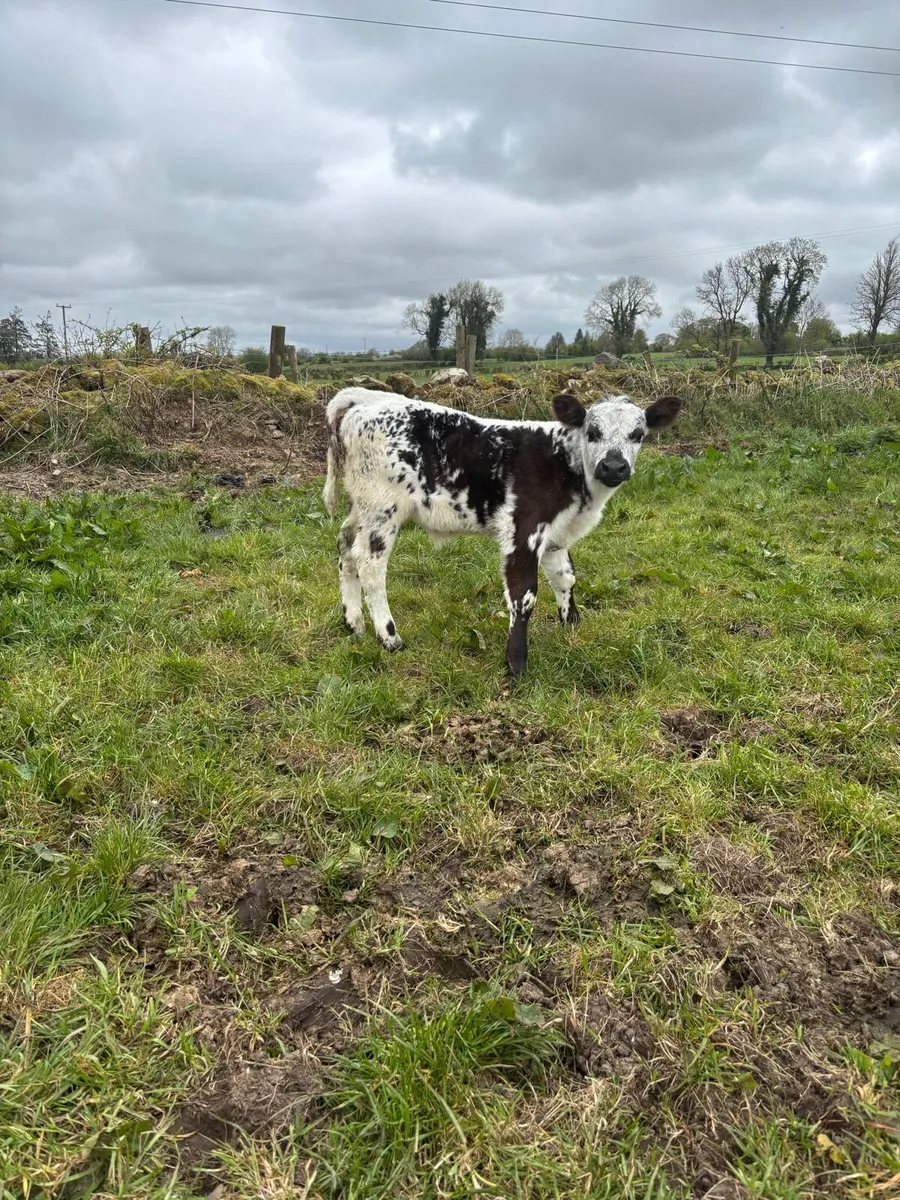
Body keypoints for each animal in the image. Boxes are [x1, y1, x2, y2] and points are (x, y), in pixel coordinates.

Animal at [323, 386, 682, 676]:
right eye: (592, 431)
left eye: (638, 434)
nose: (613, 466)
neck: (568, 465)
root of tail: (367, 400)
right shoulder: (523, 530)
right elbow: (524, 595)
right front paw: (516, 662)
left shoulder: (555, 534)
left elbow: (565, 577)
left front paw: (572, 624)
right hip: (383, 508)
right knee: (370, 563)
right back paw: (389, 637)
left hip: (361, 507)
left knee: (345, 547)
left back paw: (353, 623)